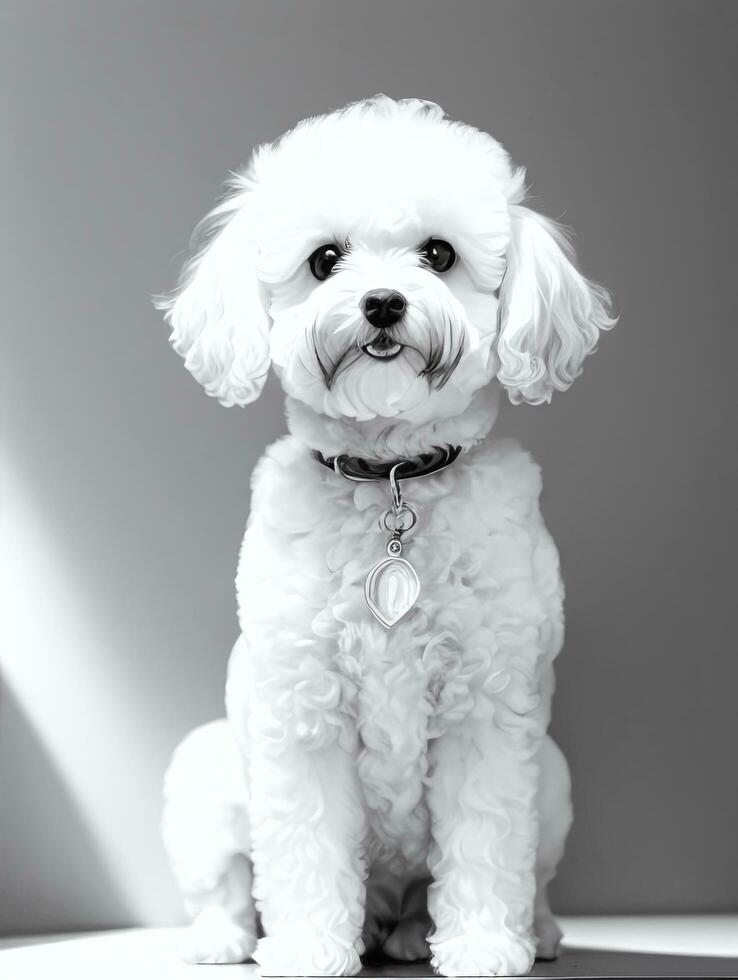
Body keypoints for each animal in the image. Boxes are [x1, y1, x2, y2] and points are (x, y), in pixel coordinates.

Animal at [158, 95, 612, 976]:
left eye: (438, 255)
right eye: (324, 259)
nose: (382, 303)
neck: (392, 475)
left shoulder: (489, 715)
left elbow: (487, 846)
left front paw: (484, 945)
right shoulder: (303, 714)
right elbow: (303, 852)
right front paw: (306, 949)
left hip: (554, 775)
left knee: (514, 879)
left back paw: (516, 932)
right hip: (205, 767)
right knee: (227, 881)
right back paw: (227, 938)